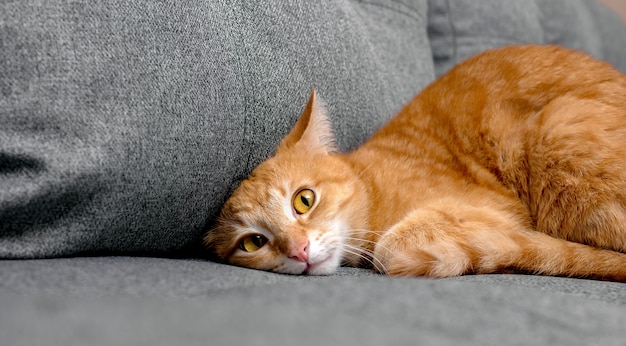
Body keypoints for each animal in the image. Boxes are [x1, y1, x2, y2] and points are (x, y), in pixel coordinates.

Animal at [204, 44, 624, 282]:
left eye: (303, 200)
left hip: (559, 131)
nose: (299, 251)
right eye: (254, 242)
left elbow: (392, 248)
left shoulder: (497, 213)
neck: (371, 187)